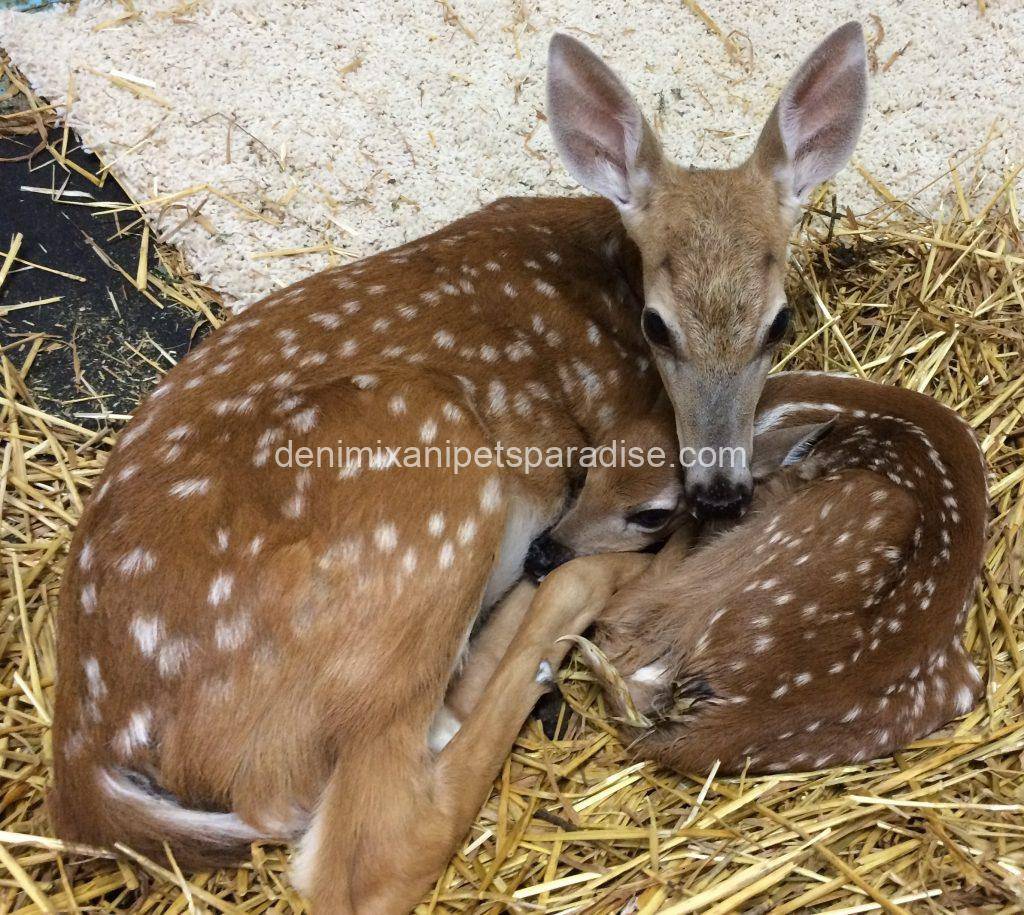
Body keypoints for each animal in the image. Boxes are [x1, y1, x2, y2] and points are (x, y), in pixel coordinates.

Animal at [52, 23, 868, 913]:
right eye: (657, 326)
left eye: (778, 321)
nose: (719, 489)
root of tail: (86, 748)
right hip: (424, 479)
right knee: (371, 846)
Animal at [455, 372, 986, 775]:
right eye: (588, 466)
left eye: (652, 513)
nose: (541, 555)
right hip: (958, 683)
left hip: (863, 503)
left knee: (625, 622)